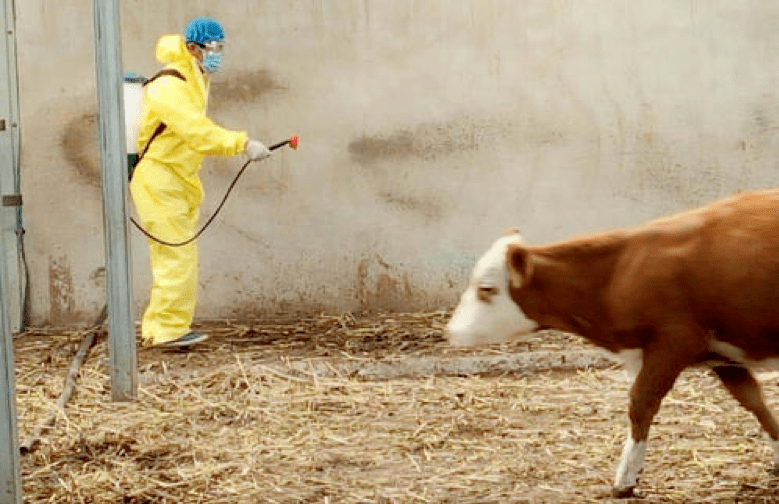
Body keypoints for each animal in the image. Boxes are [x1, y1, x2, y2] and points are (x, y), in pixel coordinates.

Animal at [448, 190, 779, 500]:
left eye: (487, 289)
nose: (451, 331)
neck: (617, 274)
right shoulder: (723, 354)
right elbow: (754, 401)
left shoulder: (674, 344)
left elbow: (640, 405)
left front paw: (626, 480)